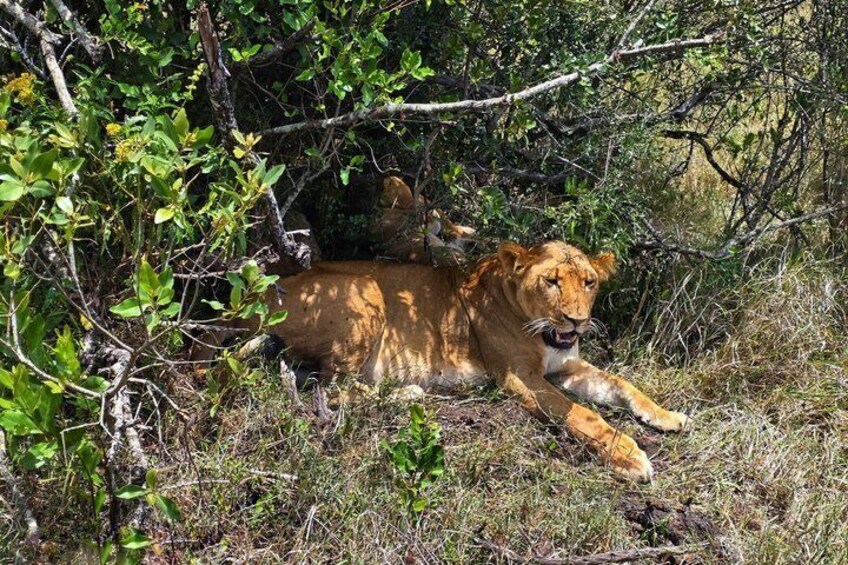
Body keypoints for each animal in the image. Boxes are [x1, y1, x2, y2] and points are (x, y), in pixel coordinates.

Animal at [202, 241, 689, 481]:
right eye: (551, 281)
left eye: (588, 282)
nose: (577, 320)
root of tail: (253, 295)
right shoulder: (519, 377)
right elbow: (583, 415)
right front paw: (630, 456)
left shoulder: (564, 366)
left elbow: (622, 386)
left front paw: (668, 416)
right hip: (366, 292)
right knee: (331, 388)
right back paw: (408, 392)